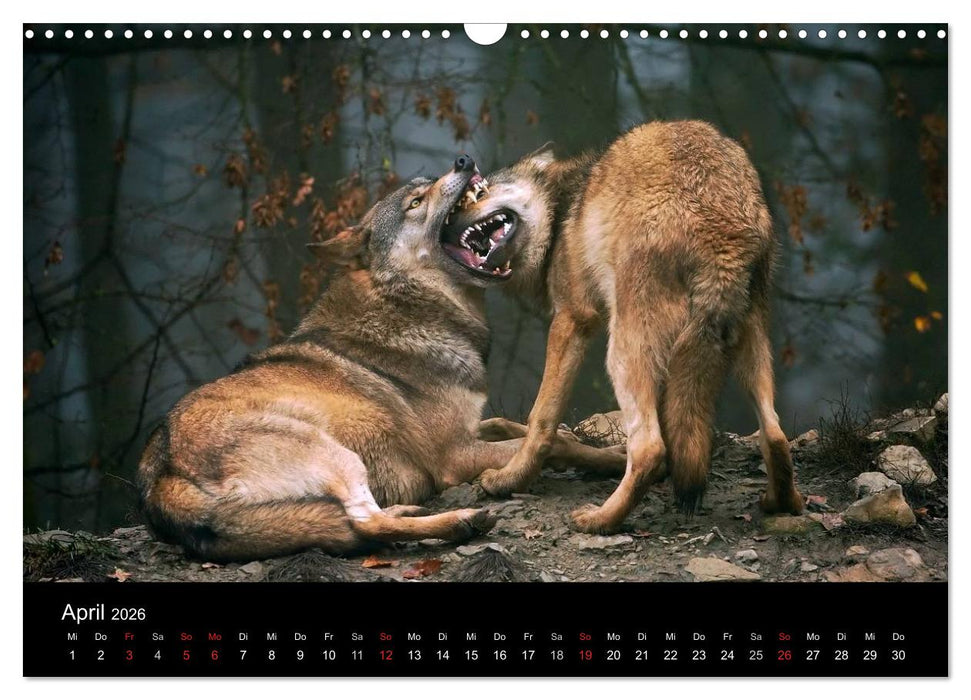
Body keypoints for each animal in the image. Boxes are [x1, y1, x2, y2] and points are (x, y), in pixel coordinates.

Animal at [136, 155, 625, 561]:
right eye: (415, 202)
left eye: (427, 185)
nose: (463, 160)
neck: (407, 304)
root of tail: (159, 483)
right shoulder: (455, 456)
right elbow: (554, 444)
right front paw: (616, 459)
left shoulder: (471, 427)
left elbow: (513, 424)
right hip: (334, 453)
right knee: (364, 524)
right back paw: (461, 522)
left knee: (365, 521)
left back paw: (413, 511)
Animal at [442, 121, 805, 534]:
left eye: (479, 192)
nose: (442, 226)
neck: (563, 212)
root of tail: (723, 227)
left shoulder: (572, 321)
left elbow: (541, 420)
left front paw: (509, 479)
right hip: (746, 344)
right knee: (774, 434)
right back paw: (780, 503)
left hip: (621, 355)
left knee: (649, 448)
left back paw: (599, 520)